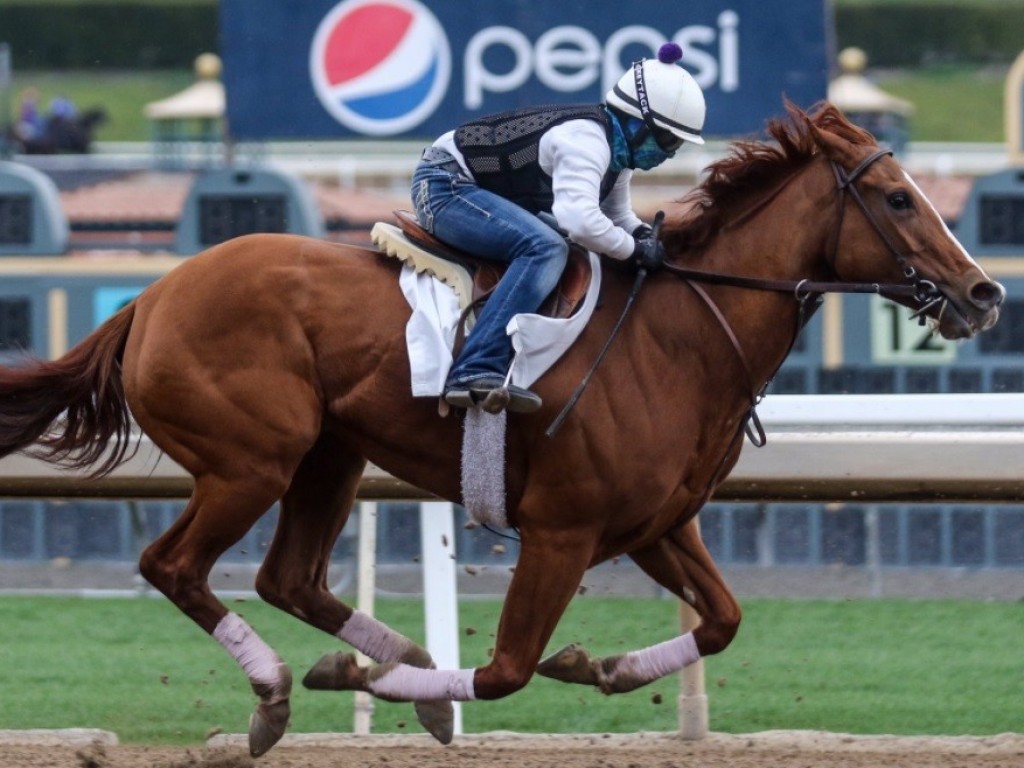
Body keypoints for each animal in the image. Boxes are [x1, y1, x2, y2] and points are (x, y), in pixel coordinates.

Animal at [0, 103, 1003, 757]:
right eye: (899, 198)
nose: (983, 292)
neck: (679, 334)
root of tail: (149, 297)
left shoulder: (657, 523)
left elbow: (721, 621)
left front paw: (602, 666)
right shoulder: (562, 530)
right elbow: (506, 670)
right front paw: (427, 688)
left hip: (330, 455)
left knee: (291, 577)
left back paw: (385, 661)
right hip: (252, 462)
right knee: (173, 566)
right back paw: (282, 690)